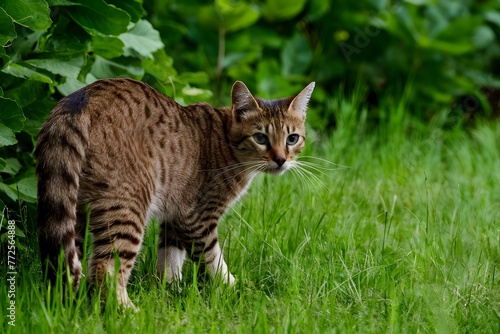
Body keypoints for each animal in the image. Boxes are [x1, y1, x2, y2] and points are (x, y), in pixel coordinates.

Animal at [37, 78, 314, 308]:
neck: (225, 140)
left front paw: (169, 289)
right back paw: (128, 312)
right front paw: (237, 289)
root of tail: (81, 100)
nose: (280, 160)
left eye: (292, 138)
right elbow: (214, 259)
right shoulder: (197, 217)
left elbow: (169, 258)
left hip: (75, 209)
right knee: (104, 271)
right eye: (260, 137)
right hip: (127, 207)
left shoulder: (174, 216)